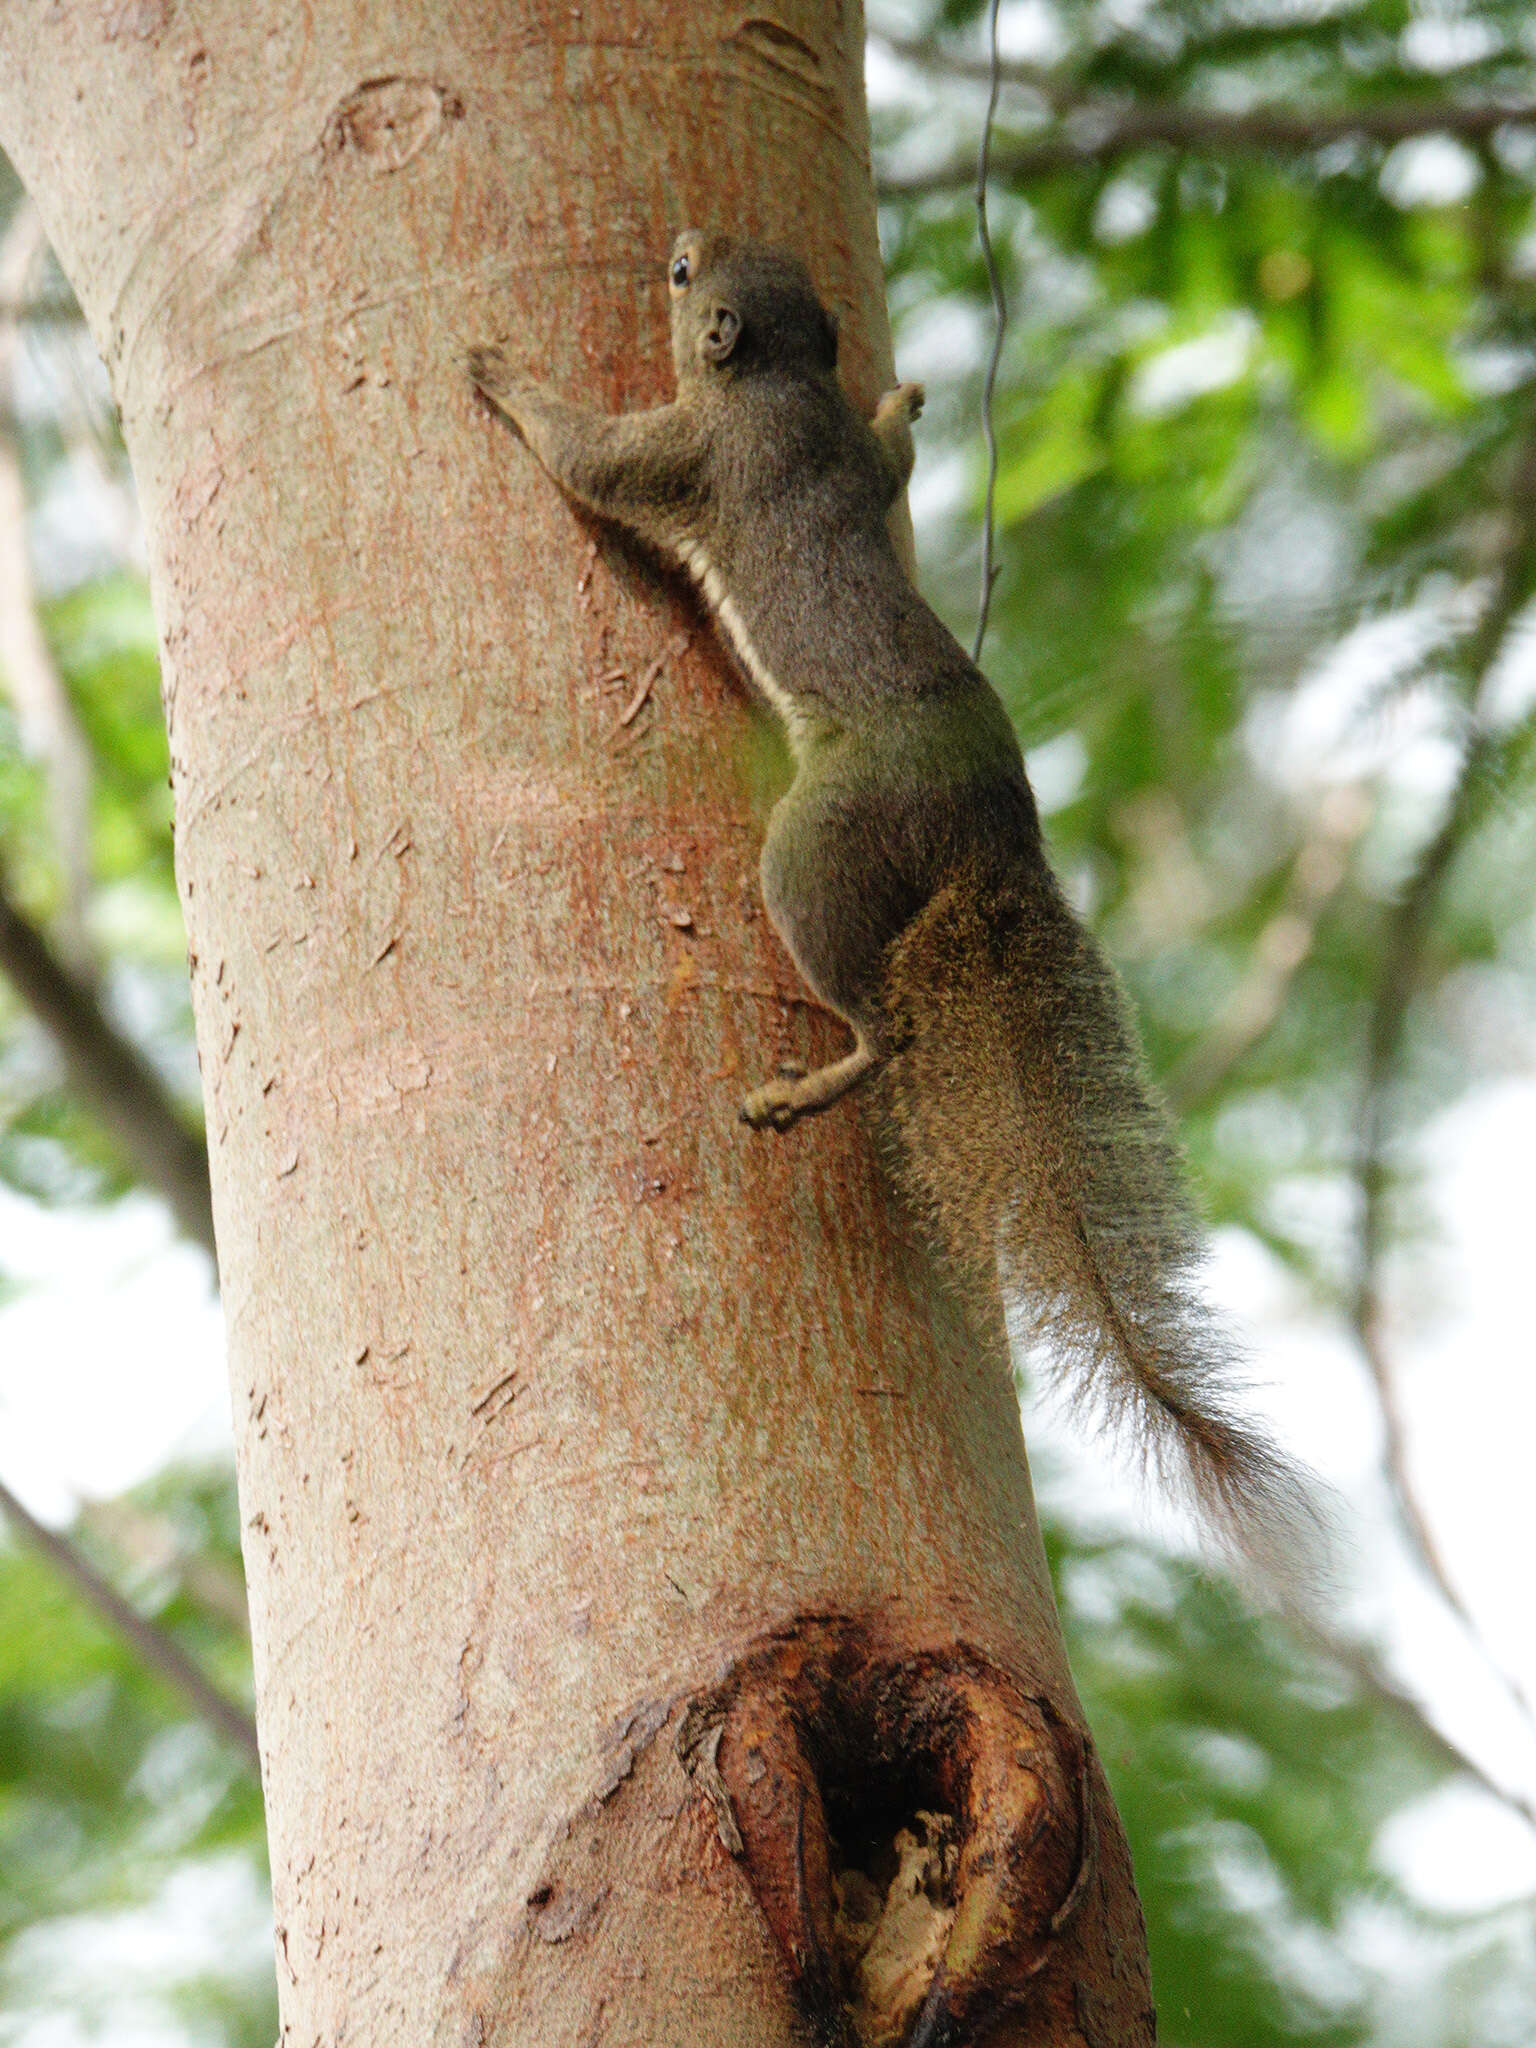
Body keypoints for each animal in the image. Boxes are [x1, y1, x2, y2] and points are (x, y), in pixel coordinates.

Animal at [468, 232, 1327, 1572]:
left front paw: (501, 372)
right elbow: (882, 465)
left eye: (684, 278)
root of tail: (995, 834)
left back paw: (806, 1085)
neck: (776, 384)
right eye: (729, 260)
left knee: (888, 1027)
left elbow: (584, 456)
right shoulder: (830, 451)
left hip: (817, 848)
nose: (689, 237)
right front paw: (901, 407)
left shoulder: (683, 450)